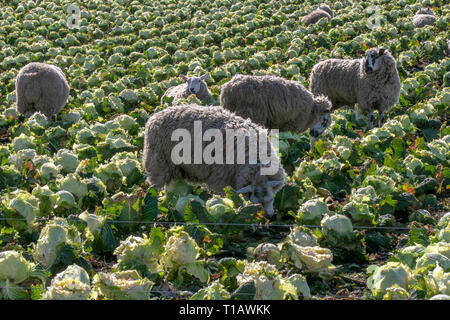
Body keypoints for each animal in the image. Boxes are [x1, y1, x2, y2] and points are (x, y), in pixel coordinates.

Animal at [142, 104, 286, 216]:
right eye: (255, 204)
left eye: (271, 199)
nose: (269, 217)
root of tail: (156, 115)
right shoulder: (220, 178)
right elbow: (223, 196)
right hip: (158, 162)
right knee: (156, 185)